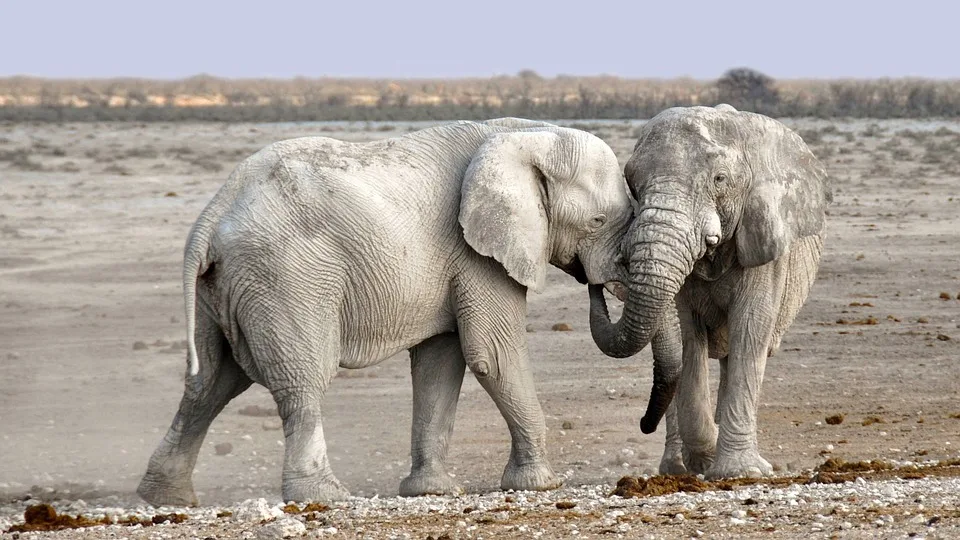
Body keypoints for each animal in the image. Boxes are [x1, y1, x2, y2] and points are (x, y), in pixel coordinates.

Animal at [133, 117, 632, 506]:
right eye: (597, 222)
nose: (596, 284)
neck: (527, 134)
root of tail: (211, 216)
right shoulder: (477, 253)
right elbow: (492, 355)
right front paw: (541, 484)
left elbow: (440, 363)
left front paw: (431, 492)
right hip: (286, 277)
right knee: (302, 380)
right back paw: (325, 496)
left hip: (223, 288)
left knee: (210, 383)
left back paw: (166, 498)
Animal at [588, 107, 828, 478]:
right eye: (632, 184)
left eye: (720, 180)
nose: (595, 283)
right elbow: (687, 338)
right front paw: (707, 458)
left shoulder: (764, 241)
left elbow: (751, 330)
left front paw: (740, 472)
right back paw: (677, 468)